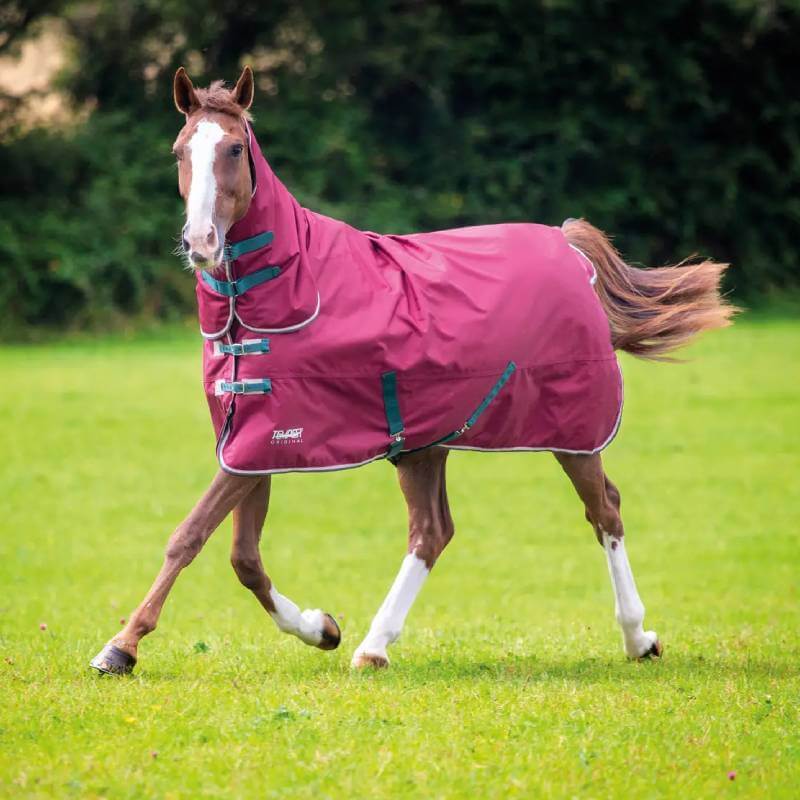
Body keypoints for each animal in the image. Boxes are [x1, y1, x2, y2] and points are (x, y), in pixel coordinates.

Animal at [90, 67, 735, 676]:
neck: (287, 291)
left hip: (572, 432)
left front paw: (120, 647)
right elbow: (243, 558)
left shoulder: (263, 439)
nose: (201, 242)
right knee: (432, 531)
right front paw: (322, 628)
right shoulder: (252, 439)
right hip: (427, 443)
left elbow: (190, 536)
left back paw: (638, 638)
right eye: (179, 150)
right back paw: (372, 647)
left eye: (232, 148)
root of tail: (568, 246)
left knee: (605, 511)